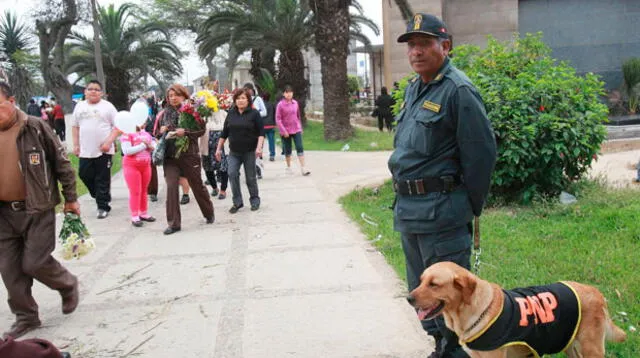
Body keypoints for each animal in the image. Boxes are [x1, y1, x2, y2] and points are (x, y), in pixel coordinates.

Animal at [404, 262, 624, 356]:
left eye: (434, 284)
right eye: (422, 280)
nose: (408, 298)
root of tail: (597, 293)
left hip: (591, 348)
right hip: (569, 344)